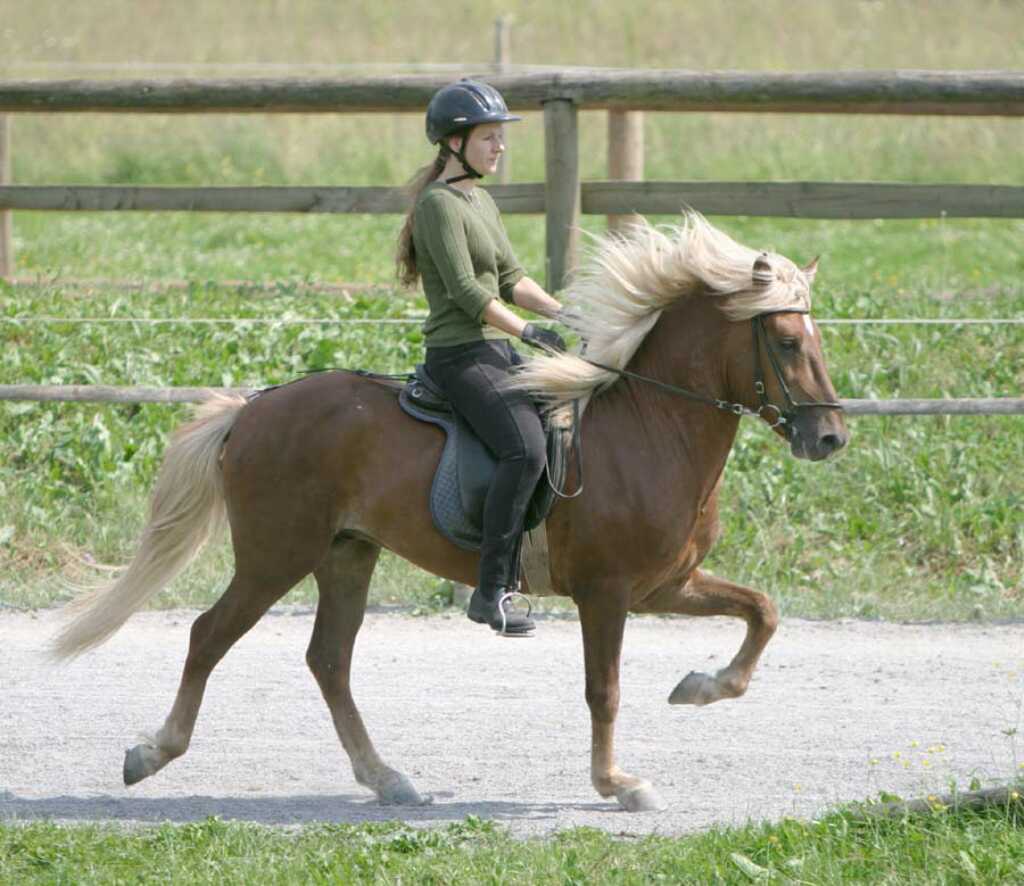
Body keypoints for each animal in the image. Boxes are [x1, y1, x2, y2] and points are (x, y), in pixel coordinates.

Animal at [51, 211, 847, 811]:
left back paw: (388, 779)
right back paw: (153, 752)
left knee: (328, 659)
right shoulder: (608, 592)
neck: (652, 427)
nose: (831, 437)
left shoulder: (666, 585)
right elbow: (605, 690)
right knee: (209, 635)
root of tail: (253, 408)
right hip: (277, 555)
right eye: (785, 341)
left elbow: (763, 611)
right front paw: (618, 783)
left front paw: (701, 687)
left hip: (346, 553)